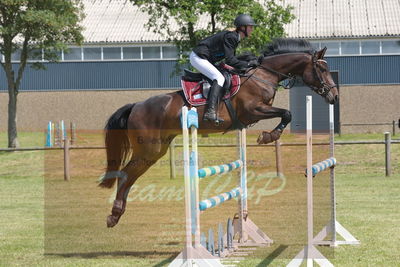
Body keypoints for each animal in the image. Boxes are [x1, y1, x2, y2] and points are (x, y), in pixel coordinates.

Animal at [99, 39, 338, 228]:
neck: (263, 74)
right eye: (322, 70)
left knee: (130, 176)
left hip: (155, 151)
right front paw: (268, 136)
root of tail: (136, 105)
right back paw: (114, 214)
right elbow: (286, 113)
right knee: (125, 175)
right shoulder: (253, 110)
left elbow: (285, 114)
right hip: (149, 148)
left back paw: (117, 214)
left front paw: (268, 136)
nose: (334, 96)